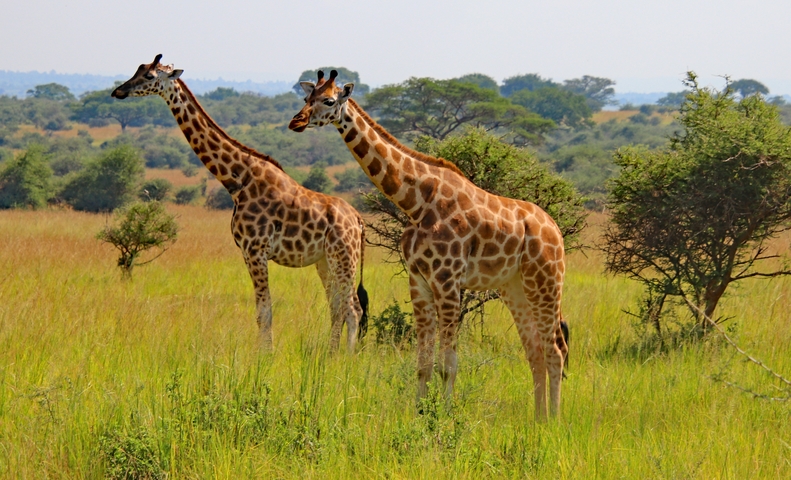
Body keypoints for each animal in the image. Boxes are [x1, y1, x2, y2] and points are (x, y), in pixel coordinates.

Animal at [112, 56, 368, 352]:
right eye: (138, 70)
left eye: (150, 75)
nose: (118, 91)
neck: (237, 179)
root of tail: (359, 220)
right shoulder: (248, 251)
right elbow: (263, 311)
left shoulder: (255, 249)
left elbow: (264, 311)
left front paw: (265, 358)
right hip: (325, 260)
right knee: (338, 306)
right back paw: (331, 355)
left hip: (344, 257)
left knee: (354, 308)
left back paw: (346, 358)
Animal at [289, 70, 568, 419]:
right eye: (306, 98)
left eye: (328, 101)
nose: (296, 121)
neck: (416, 202)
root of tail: (555, 229)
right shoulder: (419, 281)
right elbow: (423, 362)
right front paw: (419, 413)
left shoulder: (447, 282)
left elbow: (448, 364)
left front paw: (445, 416)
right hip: (514, 286)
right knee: (535, 350)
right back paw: (538, 418)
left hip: (546, 281)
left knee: (555, 350)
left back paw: (554, 420)